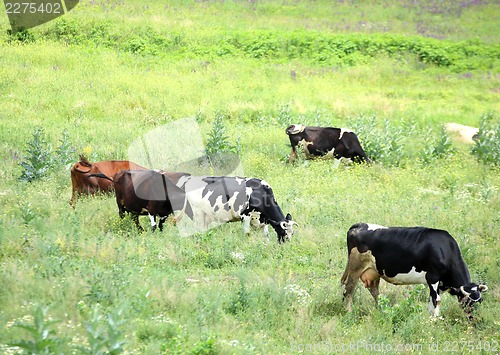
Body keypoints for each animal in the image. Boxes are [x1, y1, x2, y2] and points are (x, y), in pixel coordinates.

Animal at [340, 224, 488, 318]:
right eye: (468, 302)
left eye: (480, 301)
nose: (474, 318)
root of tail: (359, 225)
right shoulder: (433, 277)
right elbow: (436, 300)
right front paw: (435, 320)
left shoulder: (439, 284)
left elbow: (431, 300)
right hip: (355, 268)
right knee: (348, 290)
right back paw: (348, 313)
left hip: (374, 271)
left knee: (374, 291)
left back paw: (381, 310)